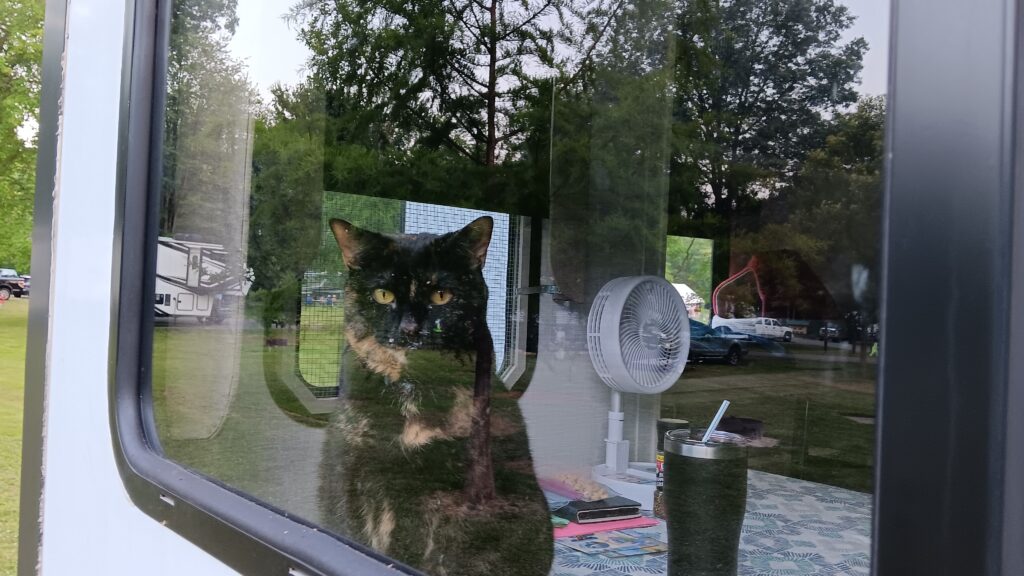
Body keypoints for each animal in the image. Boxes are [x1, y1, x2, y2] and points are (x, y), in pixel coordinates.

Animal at [319, 214, 557, 573]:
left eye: (442, 295)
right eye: (383, 294)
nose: (410, 329)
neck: (411, 391)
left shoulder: (438, 495)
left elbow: (415, 549)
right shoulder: (348, 470)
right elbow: (350, 530)